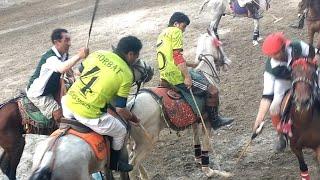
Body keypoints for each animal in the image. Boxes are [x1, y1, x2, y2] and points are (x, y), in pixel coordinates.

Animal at [126, 28, 234, 179]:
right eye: (220, 44)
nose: (228, 62)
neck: (205, 73)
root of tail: (129, 107)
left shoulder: (195, 120)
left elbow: (196, 140)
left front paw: (198, 160)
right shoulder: (207, 122)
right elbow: (206, 143)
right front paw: (208, 170)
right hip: (147, 142)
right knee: (133, 167)